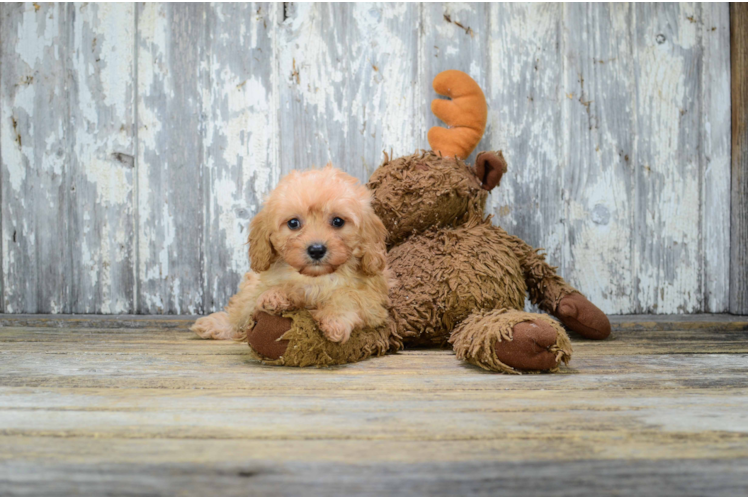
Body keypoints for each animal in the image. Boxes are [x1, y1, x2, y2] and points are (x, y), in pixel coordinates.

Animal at [191, 164, 392, 344]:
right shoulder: (262, 283)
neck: (316, 277)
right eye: (293, 223)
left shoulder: (372, 301)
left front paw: (334, 320)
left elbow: (348, 296)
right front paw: (276, 296)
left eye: (338, 221)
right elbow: (262, 296)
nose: (316, 250)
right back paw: (215, 325)